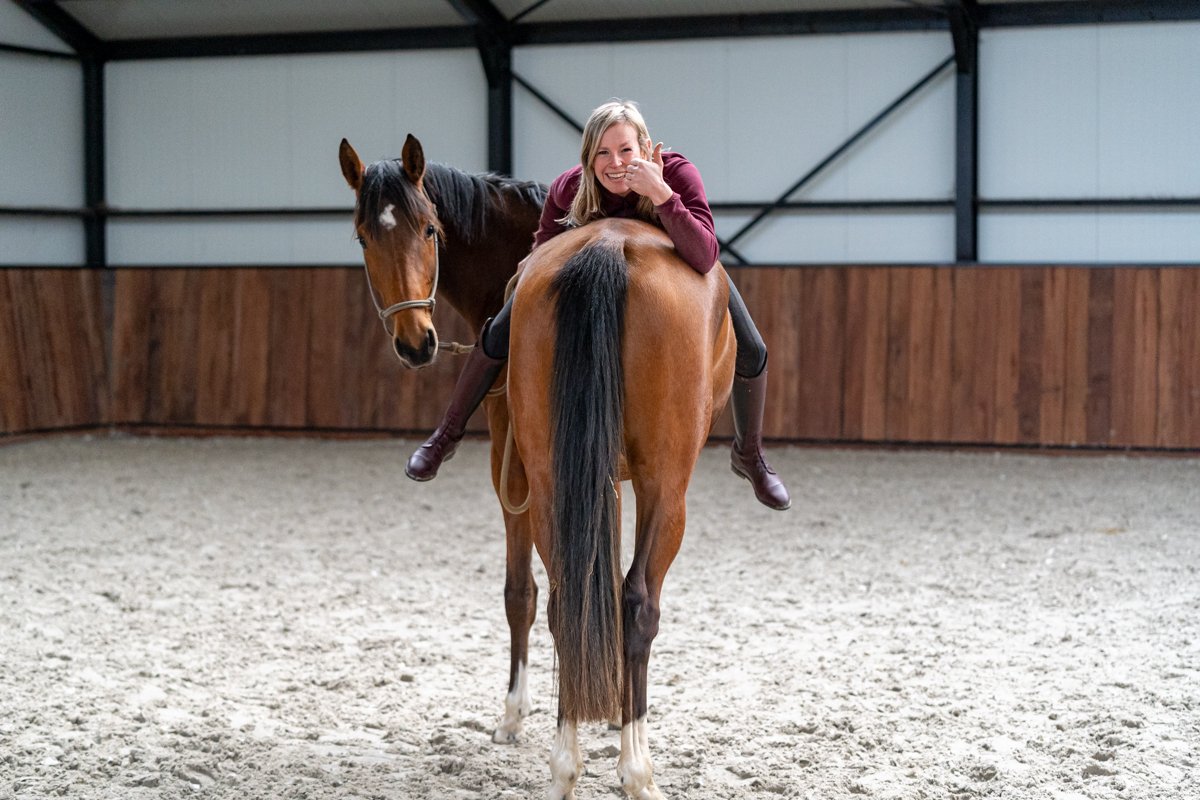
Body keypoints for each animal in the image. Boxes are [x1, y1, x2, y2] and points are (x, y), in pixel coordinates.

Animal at [339, 136, 736, 799]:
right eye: (364, 237)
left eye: (429, 230)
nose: (416, 341)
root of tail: (607, 247)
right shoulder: (566, 476)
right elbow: (561, 589)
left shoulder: (528, 473)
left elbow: (534, 590)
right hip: (648, 485)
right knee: (621, 600)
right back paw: (621, 765)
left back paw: (597, 761)